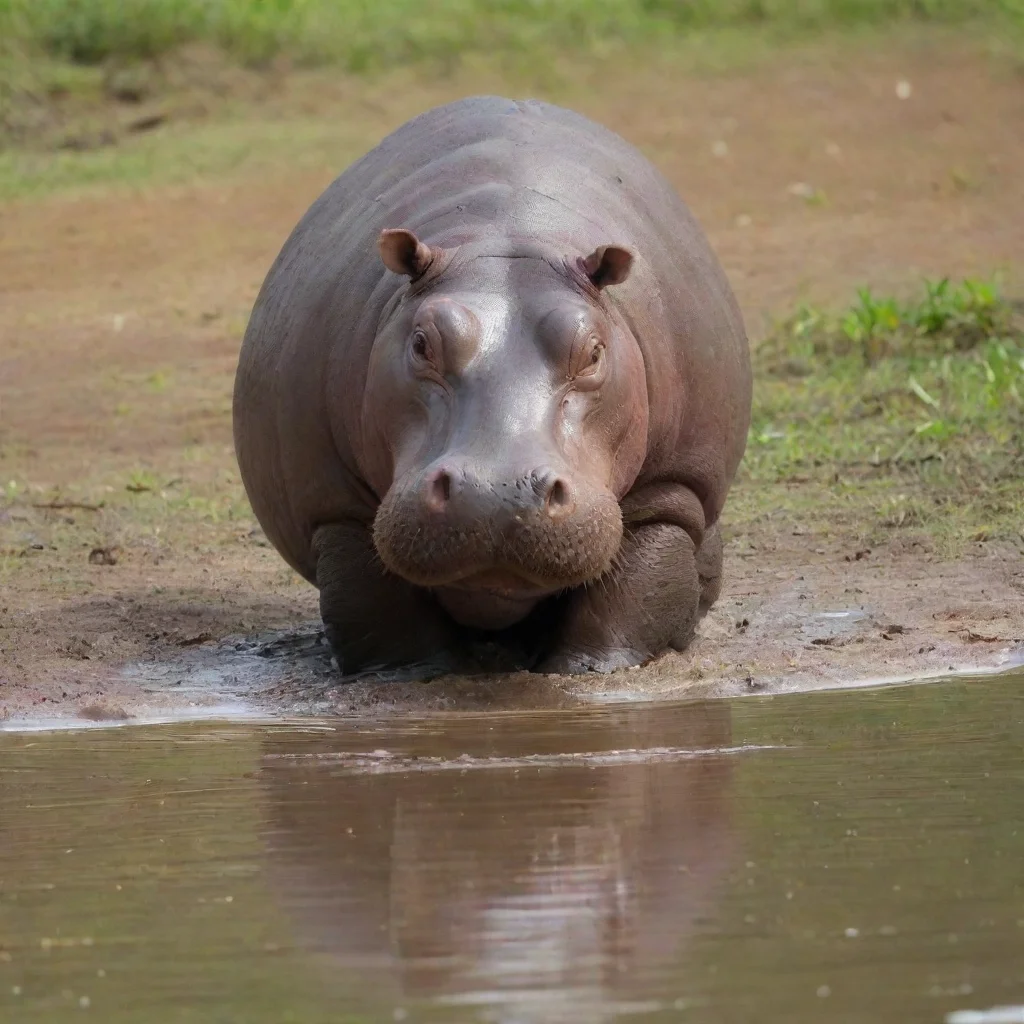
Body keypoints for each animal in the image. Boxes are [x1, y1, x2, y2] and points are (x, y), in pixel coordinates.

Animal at [235, 94, 757, 671]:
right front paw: (419, 676)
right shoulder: (334, 506)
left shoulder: (672, 488)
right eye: (422, 342)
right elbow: (382, 618)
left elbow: (631, 600)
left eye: (594, 351)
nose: (495, 493)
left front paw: (591, 673)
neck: (508, 234)